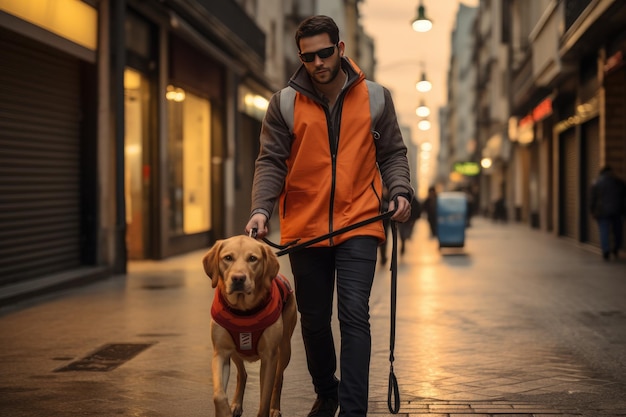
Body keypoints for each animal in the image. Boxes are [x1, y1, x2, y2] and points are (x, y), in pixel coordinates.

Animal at [202, 234, 294, 416]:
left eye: (252, 259)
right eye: (228, 258)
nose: (238, 278)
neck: (243, 310)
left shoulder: (269, 357)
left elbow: (264, 400)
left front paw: (267, 407)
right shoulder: (220, 353)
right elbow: (219, 395)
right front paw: (224, 411)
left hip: (285, 348)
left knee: (278, 378)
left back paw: (275, 407)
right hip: (236, 351)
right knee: (242, 374)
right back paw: (236, 403)